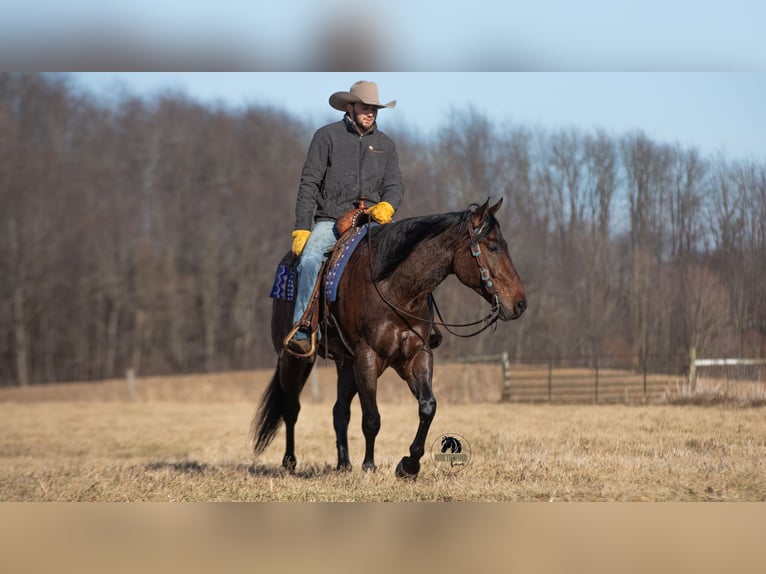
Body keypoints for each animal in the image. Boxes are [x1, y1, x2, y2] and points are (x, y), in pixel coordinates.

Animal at [252, 198, 526, 479]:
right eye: (492, 247)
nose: (520, 303)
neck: (396, 289)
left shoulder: (416, 356)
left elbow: (428, 406)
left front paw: (409, 465)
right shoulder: (368, 357)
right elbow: (372, 418)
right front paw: (369, 466)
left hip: (345, 364)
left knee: (339, 411)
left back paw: (343, 464)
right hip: (294, 359)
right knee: (291, 408)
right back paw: (290, 462)